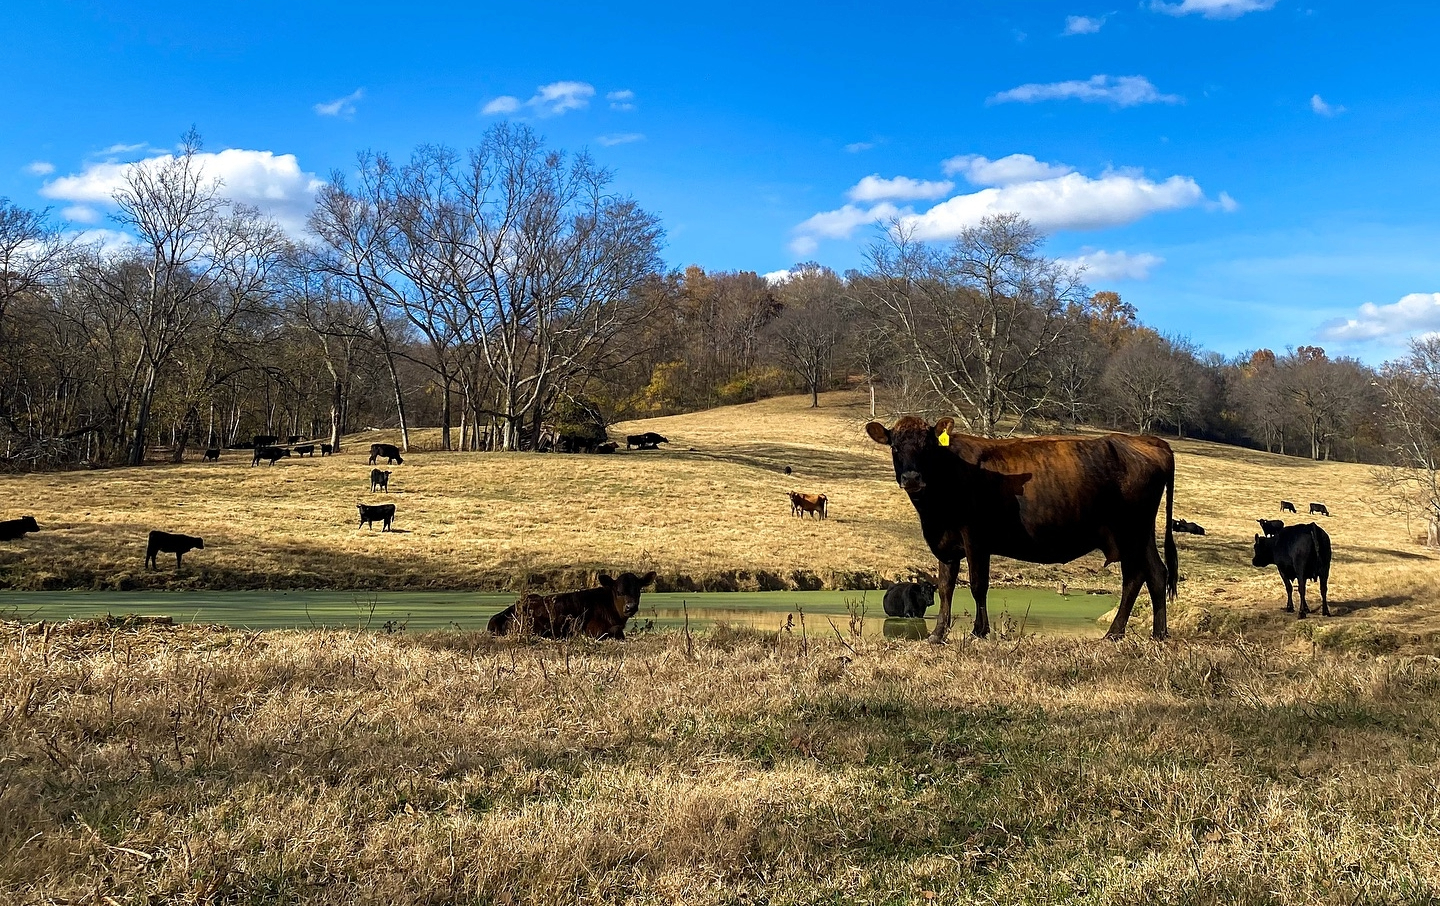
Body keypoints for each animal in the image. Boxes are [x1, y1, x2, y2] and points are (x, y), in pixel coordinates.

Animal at [866, 416, 1177, 642]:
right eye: (895, 447)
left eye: (927, 447)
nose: (912, 478)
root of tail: (1145, 440)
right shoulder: (947, 545)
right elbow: (945, 588)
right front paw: (938, 634)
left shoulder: (975, 538)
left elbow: (978, 585)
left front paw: (979, 631)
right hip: (1142, 534)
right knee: (1155, 573)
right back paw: (1157, 633)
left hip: (1130, 532)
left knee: (1135, 577)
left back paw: (1118, 632)